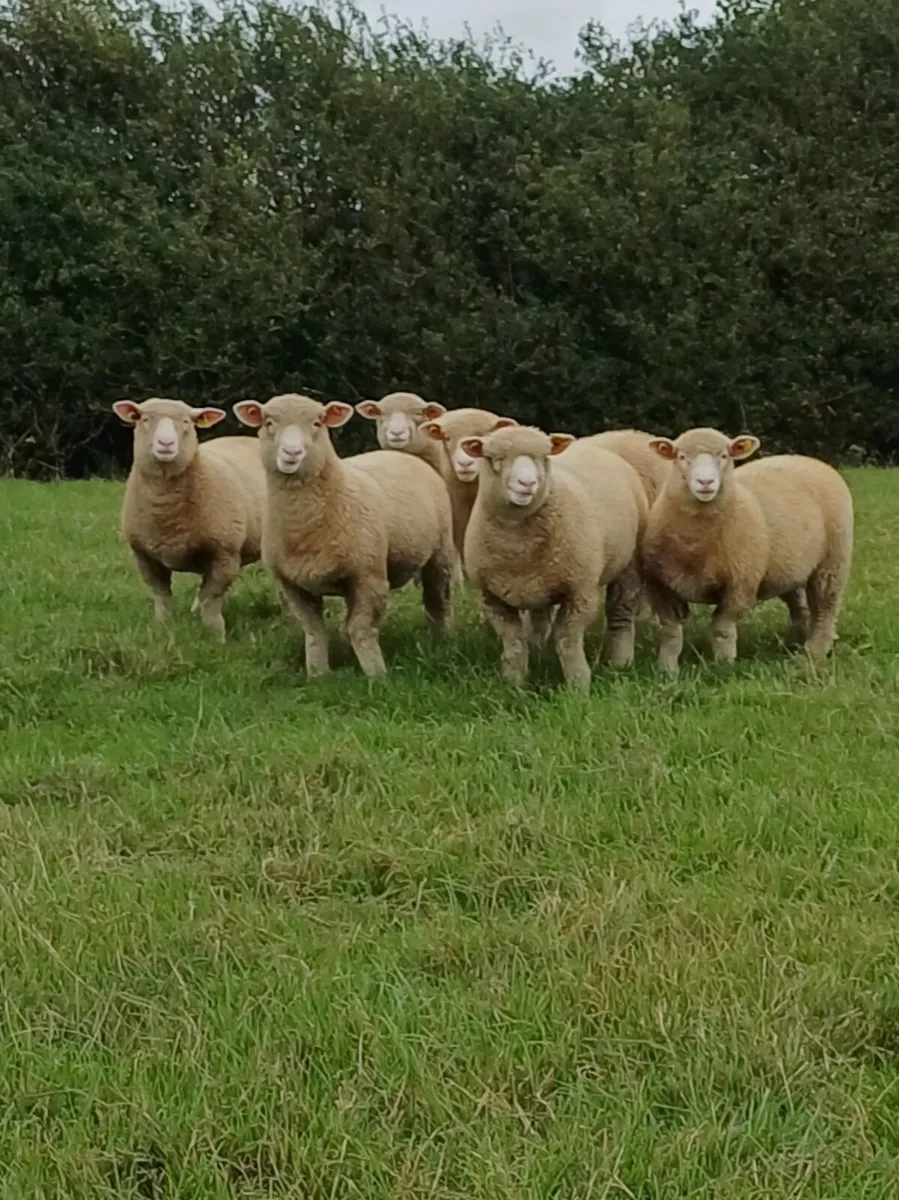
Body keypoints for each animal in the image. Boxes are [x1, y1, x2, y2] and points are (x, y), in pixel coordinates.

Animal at [112, 397, 266, 641]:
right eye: (144, 418)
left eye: (187, 421)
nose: (166, 443)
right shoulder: (144, 556)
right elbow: (161, 596)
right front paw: (162, 627)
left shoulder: (224, 554)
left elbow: (211, 600)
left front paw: (216, 637)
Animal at [233, 393, 455, 678]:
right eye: (268, 422)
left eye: (317, 423)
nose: (292, 452)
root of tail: (403, 455)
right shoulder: (291, 584)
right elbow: (314, 631)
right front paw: (318, 674)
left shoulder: (370, 577)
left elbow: (361, 629)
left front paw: (376, 675)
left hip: (440, 552)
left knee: (437, 601)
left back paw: (441, 642)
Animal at [460, 425, 648, 690]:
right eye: (493, 458)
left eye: (545, 457)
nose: (527, 483)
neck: (517, 547)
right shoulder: (492, 597)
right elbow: (514, 641)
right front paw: (514, 683)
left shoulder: (580, 591)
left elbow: (567, 639)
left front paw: (578, 685)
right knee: (540, 619)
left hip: (628, 562)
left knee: (620, 611)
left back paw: (621, 661)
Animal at [640, 427, 854, 674]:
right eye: (682, 457)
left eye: (724, 456)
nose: (706, 482)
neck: (695, 546)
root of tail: (810, 460)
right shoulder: (659, 586)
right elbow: (671, 632)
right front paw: (666, 670)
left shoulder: (740, 585)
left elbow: (721, 629)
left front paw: (722, 668)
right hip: (792, 567)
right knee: (800, 606)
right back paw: (795, 644)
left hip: (833, 562)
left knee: (825, 608)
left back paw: (813, 654)